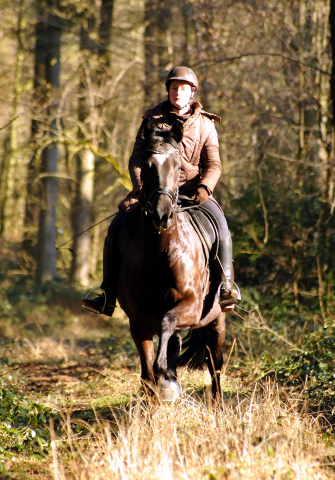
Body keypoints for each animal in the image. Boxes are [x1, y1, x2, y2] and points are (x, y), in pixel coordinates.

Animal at [117, 120, 227, 402]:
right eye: (146, 167)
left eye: (178, 166)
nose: (161, 214)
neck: (160, 253)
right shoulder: (138, 322)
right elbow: (147, 374)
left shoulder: (191, 304)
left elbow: (166, 326)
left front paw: (166, 379)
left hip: (216, 320)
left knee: (215, 364)